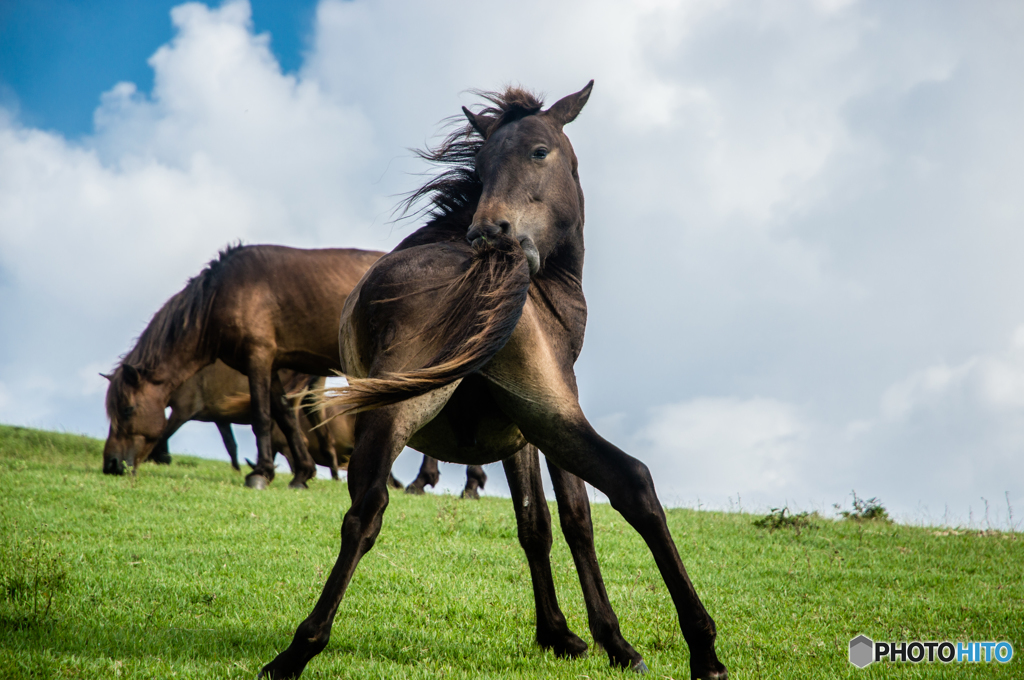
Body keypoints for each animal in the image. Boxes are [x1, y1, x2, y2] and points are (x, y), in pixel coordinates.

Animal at [102, 245, 385, 489]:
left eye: (127, 410)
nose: (111, 464)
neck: (222, 293)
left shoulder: (257, 357)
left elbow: (261, 416)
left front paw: (260, 474)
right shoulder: (272, 365)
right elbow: (284, 416)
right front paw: (302, 474)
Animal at [256, 82, 729, 675]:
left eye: (538, 152)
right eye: (482, 165)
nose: (488, 230)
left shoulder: (518, 431)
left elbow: (534, 524)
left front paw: (559, 634)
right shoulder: (550, 412)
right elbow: (575, 518)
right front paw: (606, 639)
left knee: (365, 510)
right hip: (509, 414)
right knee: (633, 485)